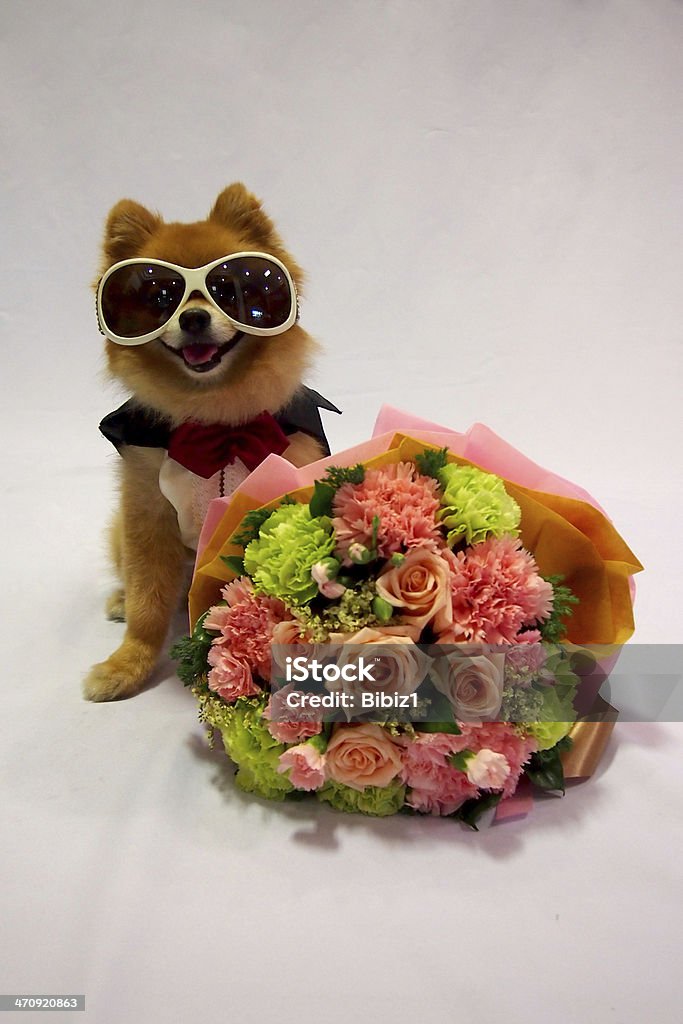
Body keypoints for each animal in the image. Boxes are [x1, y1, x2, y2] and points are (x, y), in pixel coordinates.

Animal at [85, 182, 339, 704]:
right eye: (159, 296)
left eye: (229, 290)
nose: (196, 319)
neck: (216, 420)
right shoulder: (147, 515)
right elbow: (147, 601)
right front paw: (128, 665)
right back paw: (121, 598)